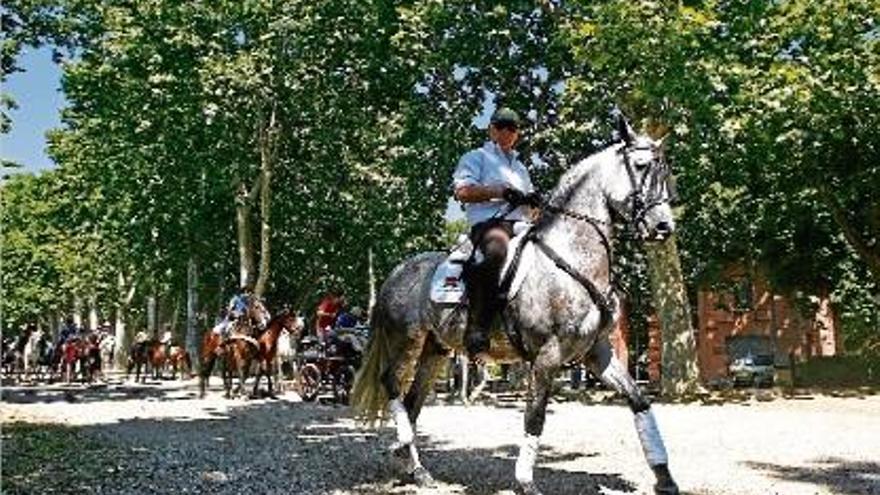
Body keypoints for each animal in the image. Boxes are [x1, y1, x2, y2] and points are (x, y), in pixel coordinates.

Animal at [350, 117, 680, 495]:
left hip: (435, 350)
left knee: (412, 402)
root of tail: (396, 273)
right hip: (406, 340)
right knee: (391, 383)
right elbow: (534, 418)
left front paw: (665, 477)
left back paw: (415, 468)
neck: (569, 259)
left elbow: (639, 401)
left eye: (665, 171)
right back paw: (404, 448)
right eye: (640, 166)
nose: (663, 227)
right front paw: (525, 481)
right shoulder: (548, 356)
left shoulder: (596, 352)